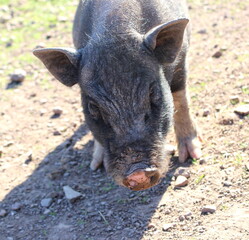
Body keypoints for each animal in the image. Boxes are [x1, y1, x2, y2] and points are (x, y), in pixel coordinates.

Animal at [33, 0, 202, 191]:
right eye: (93, 107)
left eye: (152, 94)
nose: (138, 172)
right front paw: (95, 166)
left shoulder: (181, 60)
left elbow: (181, 101)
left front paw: (191, 156)